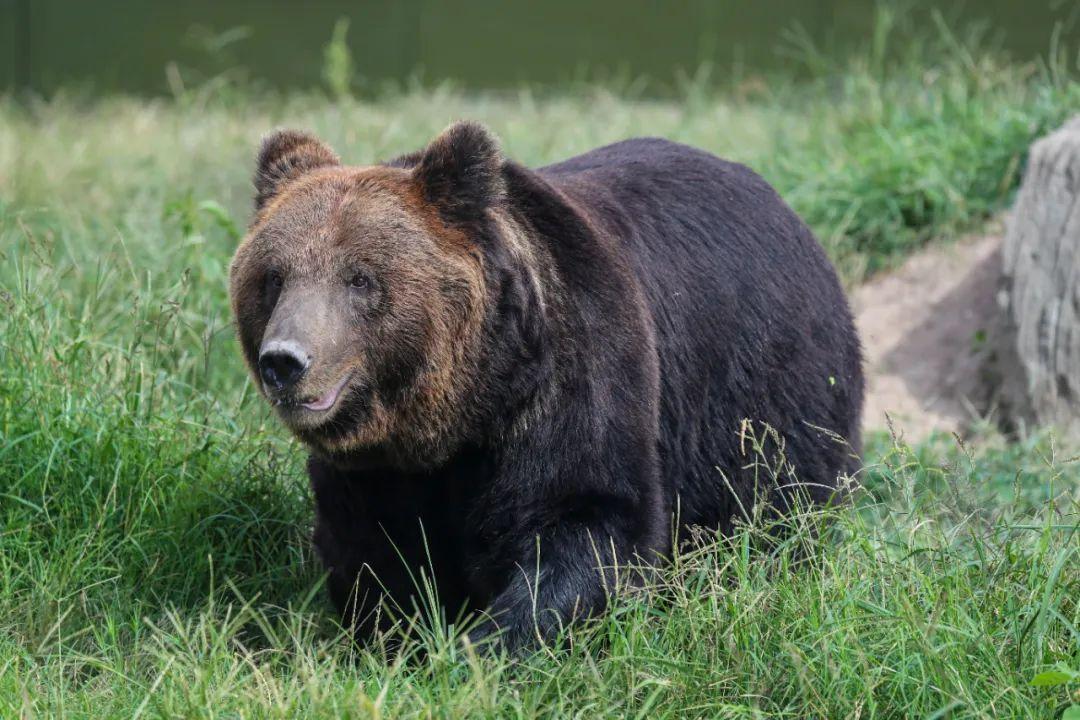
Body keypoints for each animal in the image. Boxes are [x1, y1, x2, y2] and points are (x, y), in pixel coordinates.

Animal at [227, 119, 859, 651]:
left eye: (360, 279)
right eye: (273, 277)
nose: (285, 361)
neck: (460, 412)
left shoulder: (569, 381)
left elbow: (586, 523)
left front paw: (487, 646)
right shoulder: (374, 470)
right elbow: (376, 555)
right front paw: (396, 639)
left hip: (765, 396)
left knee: (777, 503)